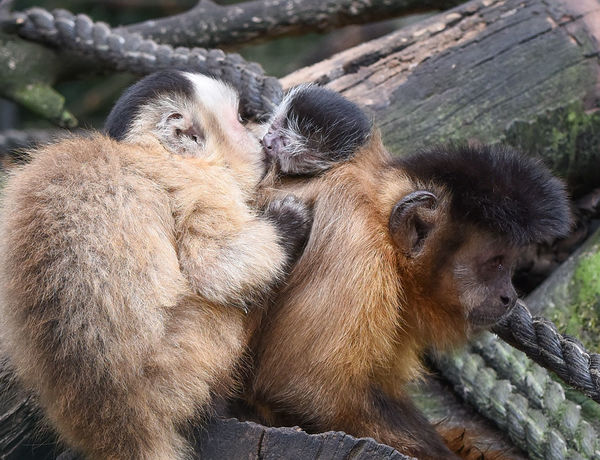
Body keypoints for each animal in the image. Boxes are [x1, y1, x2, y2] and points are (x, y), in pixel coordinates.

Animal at [0, 69, 310, 460]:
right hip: (185, 361)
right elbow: (218, 269)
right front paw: (288, 223)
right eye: (242, 119)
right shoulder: (198, 179)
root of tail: (125, 424)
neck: (152, 150)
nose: (262, 137)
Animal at [245, 84, 572, 458]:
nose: (510, 296)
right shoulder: (360, 252)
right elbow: (301, 389)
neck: (380, 218)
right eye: (496, 263)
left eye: (508, 264)